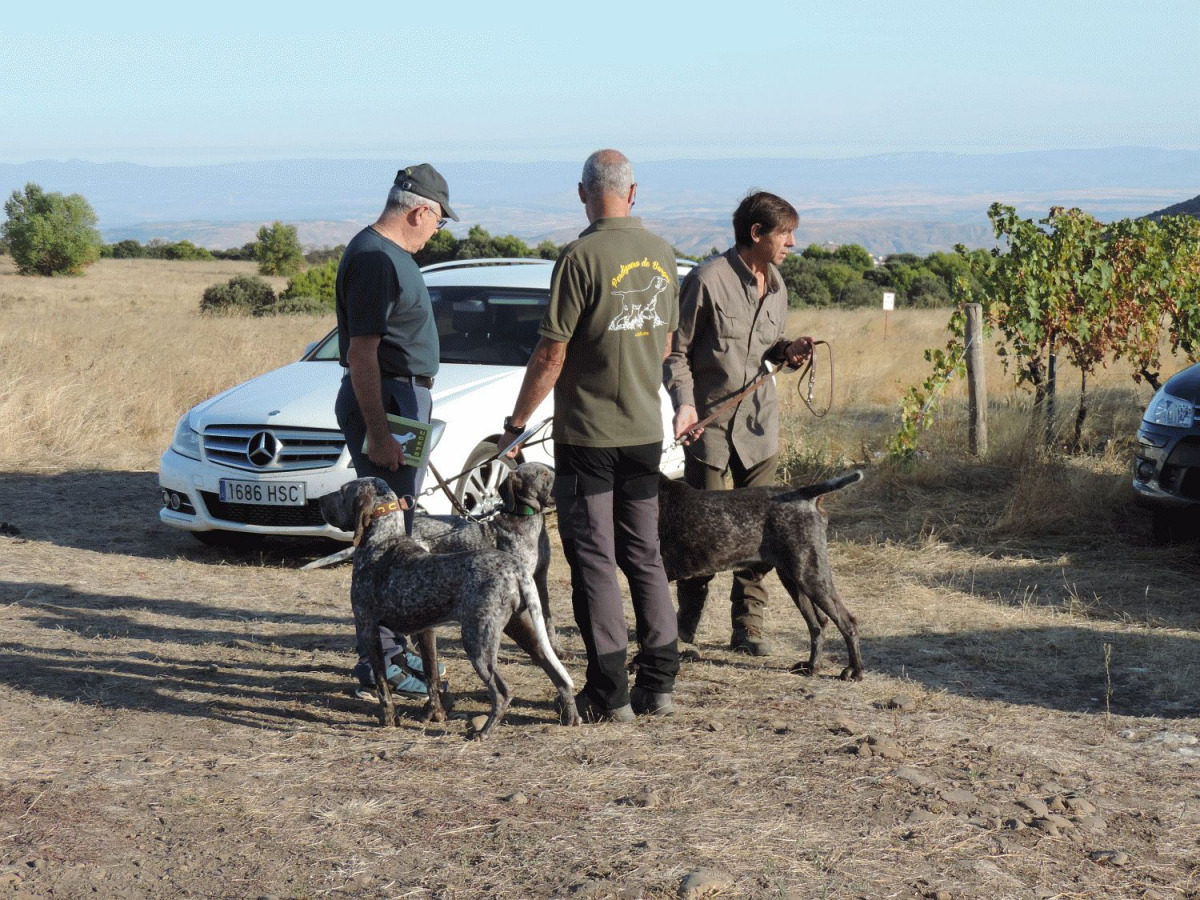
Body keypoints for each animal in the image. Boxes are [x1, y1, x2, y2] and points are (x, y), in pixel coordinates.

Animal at [411, 462, 562, 655]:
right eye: (542, 474)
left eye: (551, 469)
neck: (524, 518)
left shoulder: (540, 579)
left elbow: (547, 619)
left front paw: (555, 649)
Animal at [656, 471, 865, 681]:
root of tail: (804, 494)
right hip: (794, 579)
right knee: (818, 625)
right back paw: (811, 666)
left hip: (809, 575)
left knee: (847, 623)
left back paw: (854, 670)